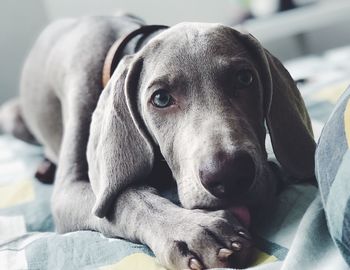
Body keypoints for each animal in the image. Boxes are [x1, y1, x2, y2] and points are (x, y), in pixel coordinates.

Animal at [0, 14, 316, 270]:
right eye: (161, 98)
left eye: (245, 78)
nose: (230, 175)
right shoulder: (69, 191)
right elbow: (126, 197)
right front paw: (196, 231)